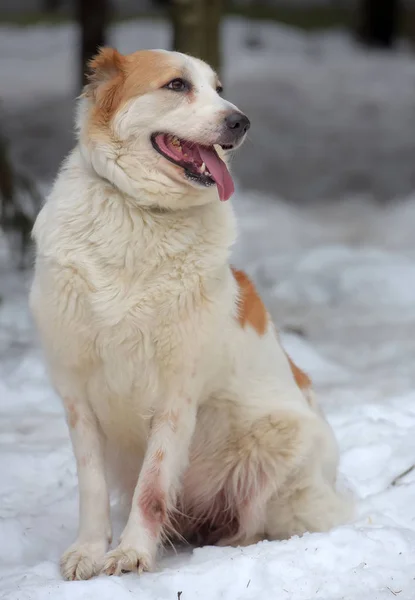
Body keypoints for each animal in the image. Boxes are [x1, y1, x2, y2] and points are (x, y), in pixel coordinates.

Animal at [29, 47, 352, 580]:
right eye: (177, 85)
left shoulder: (175, 397)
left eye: (219, 89)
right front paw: (89, 551)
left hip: (280, 444)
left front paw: (133, 553)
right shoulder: (76, 392)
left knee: (253, 522)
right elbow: (92, 486)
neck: (140, 214)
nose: (241, 121)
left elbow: (153, 487)